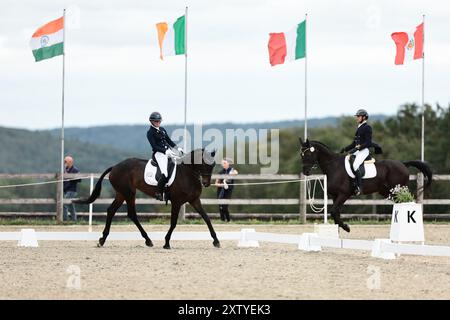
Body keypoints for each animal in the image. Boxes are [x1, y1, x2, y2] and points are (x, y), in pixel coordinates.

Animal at [73, 149, 221, 249]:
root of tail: (115, 166)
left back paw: (103, 239)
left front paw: (216, 241)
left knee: (111, 211)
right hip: (129, 193)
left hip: (121, 194)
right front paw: (166, 243)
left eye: (213, 165)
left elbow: (207, 218)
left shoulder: (194, 200)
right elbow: (173, 223)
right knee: (131, 214)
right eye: (204, 164)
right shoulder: (176, 202)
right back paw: (147, 240)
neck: (187, 174)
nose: (206, 183)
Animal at [298, 138, 432, 232]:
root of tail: (403, 164)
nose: (305, 172)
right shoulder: (334, 196)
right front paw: (340, 229)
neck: (334, 166)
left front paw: (346, 227)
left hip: (397, 190)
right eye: (301, 155)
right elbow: (336, 213)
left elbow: (334, 211)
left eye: (308, 154)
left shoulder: (343, 194)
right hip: (387, 192)